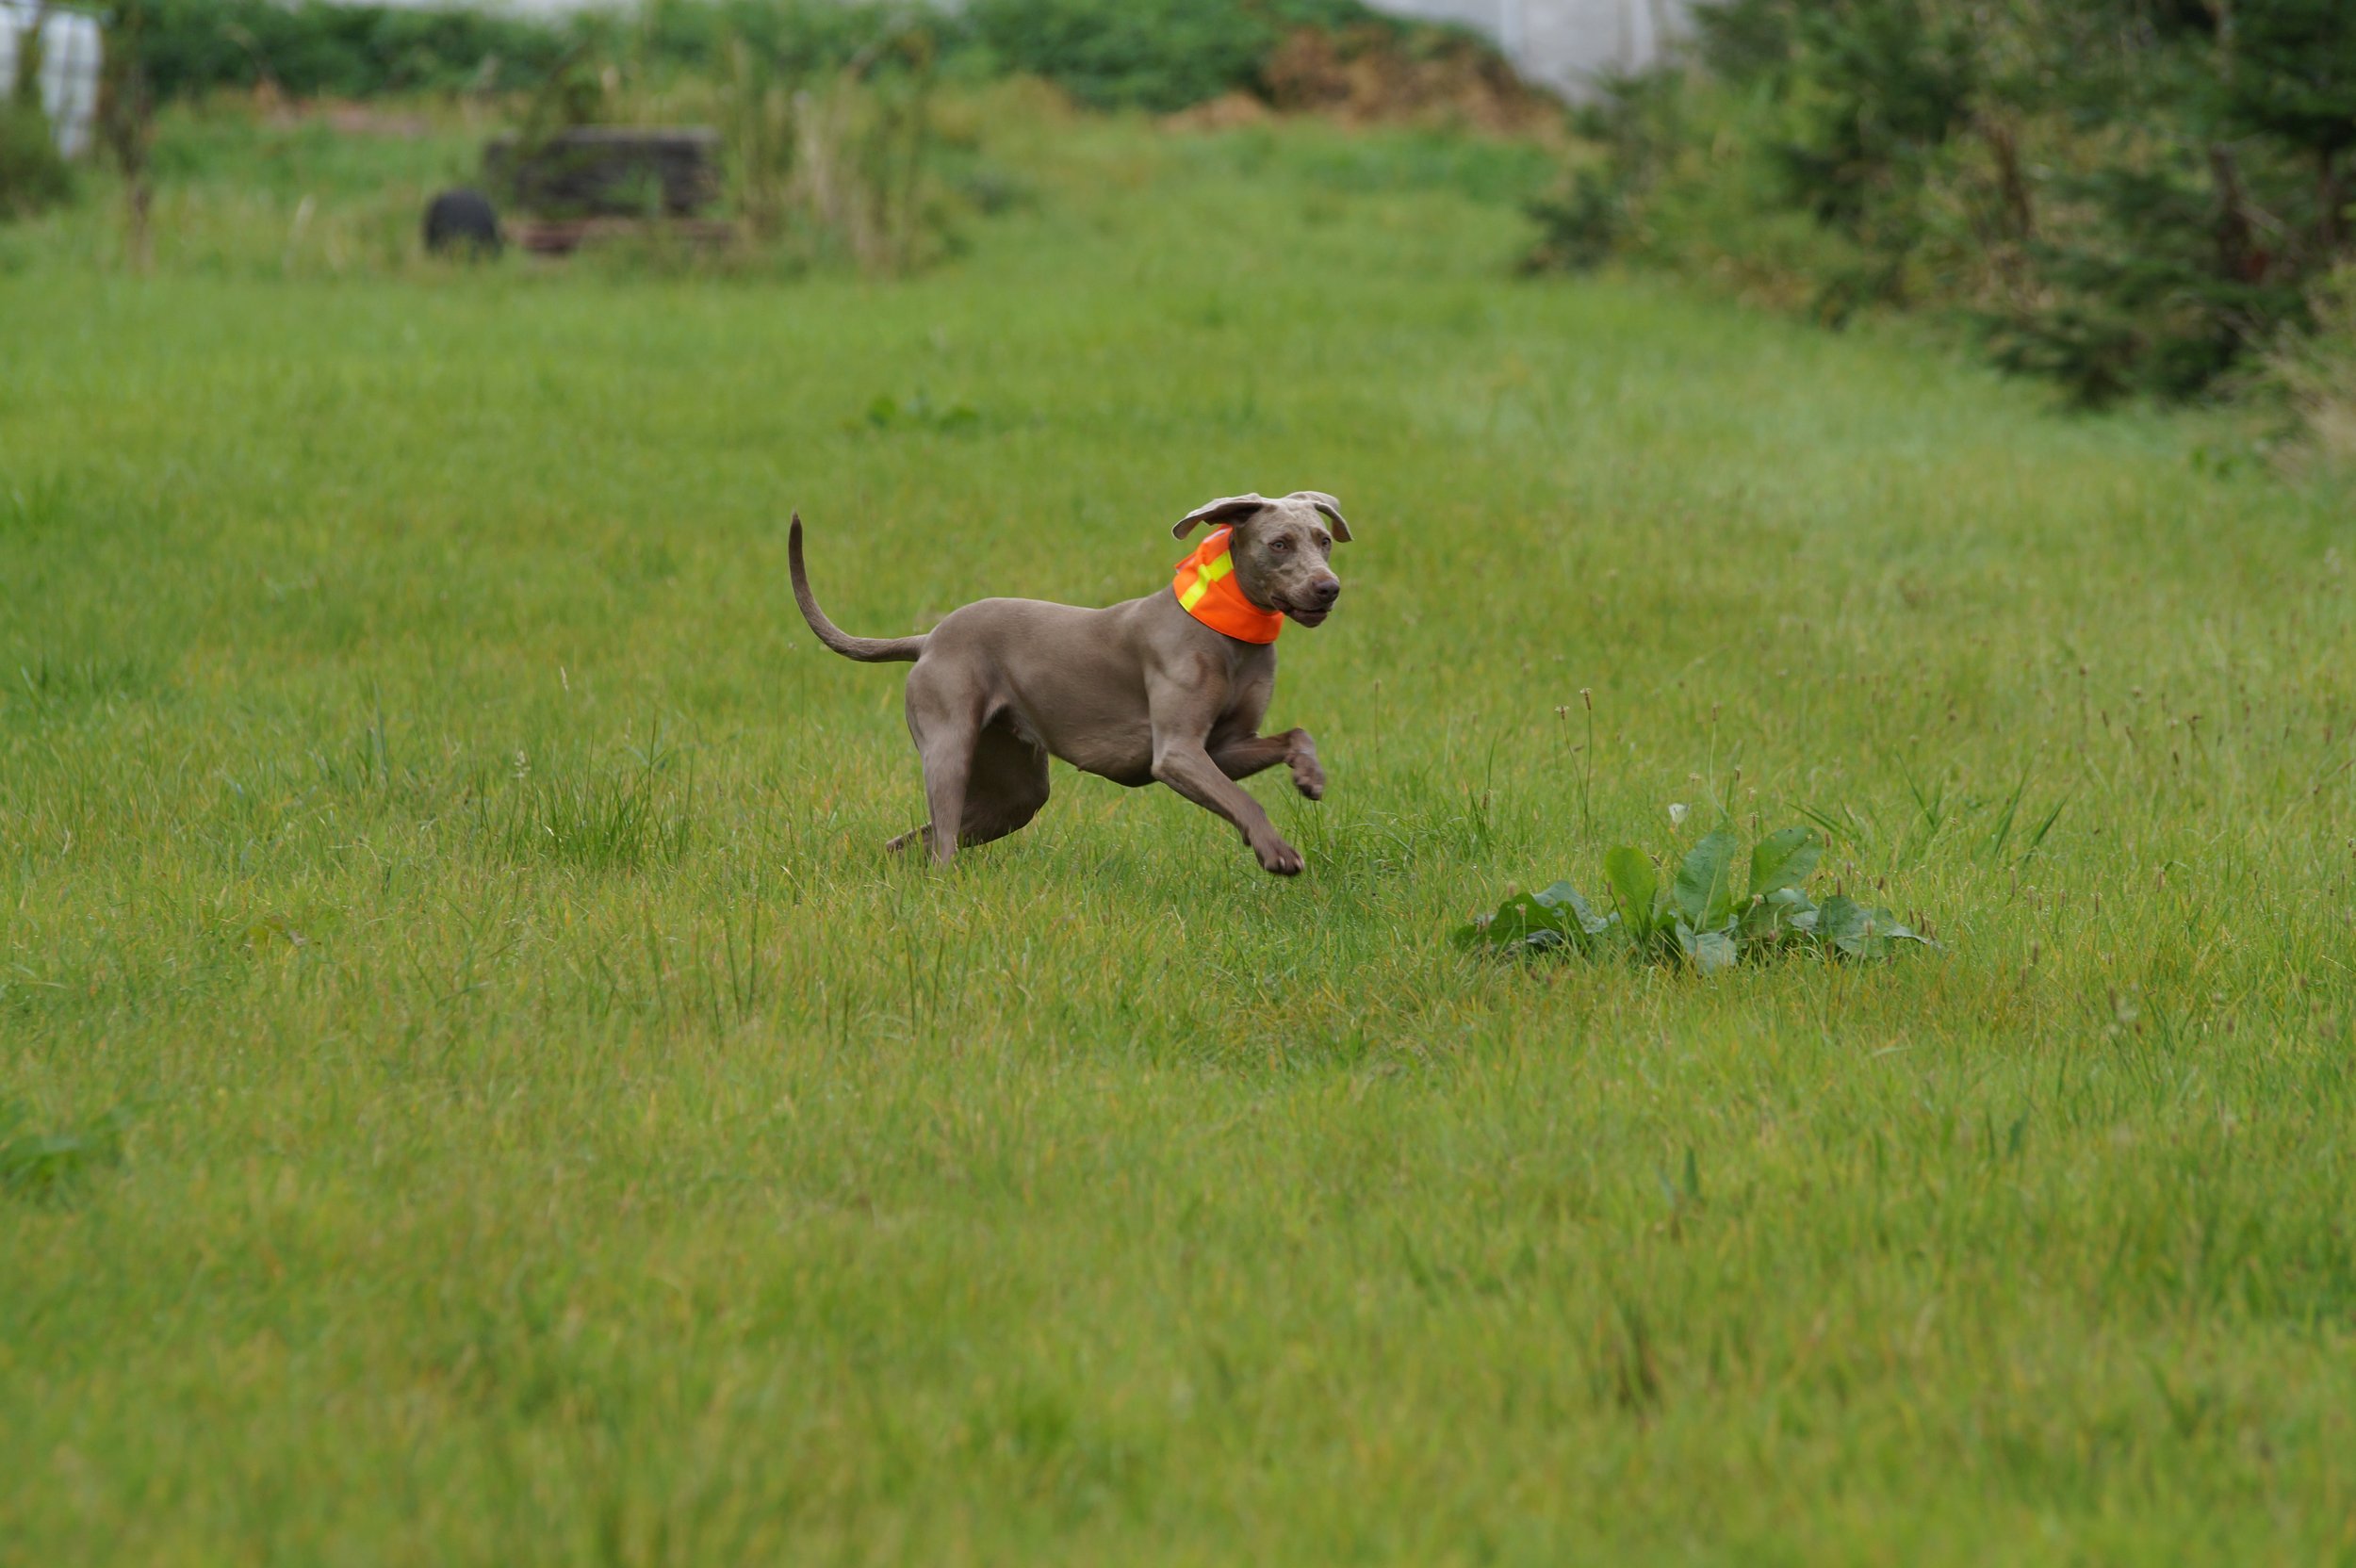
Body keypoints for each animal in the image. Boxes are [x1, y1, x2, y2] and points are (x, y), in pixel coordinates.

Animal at [789, 491, 1349, 875]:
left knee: (912, 841)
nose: (1329, 588)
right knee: (942, 838)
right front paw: (1276, 851)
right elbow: (1244, 800)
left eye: (1323, 541)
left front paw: (1309, 775)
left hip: (1015, 792)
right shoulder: (1178, 754)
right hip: (950, 748)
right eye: (1279, 544)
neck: (1229, 632)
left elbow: (1293, 736)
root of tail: (929, 638)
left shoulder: (1226, 747)